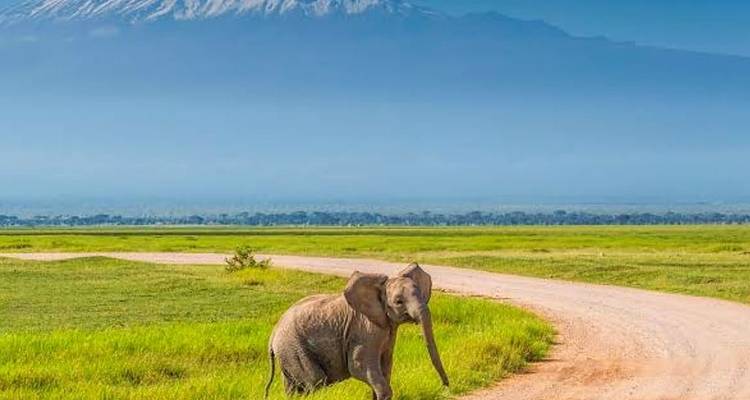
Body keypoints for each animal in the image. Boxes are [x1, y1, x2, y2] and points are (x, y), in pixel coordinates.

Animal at [264, 263, 449, 400]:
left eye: (421, 294)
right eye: (399, 302)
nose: (445, 387)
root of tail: (273, 334)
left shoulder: (386, 328)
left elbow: (385, 366)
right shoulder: (364, 329)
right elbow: (359, 366)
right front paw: (384, 395)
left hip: (289, 353)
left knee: (293, 387)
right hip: (294, 348)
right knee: (315, 381)